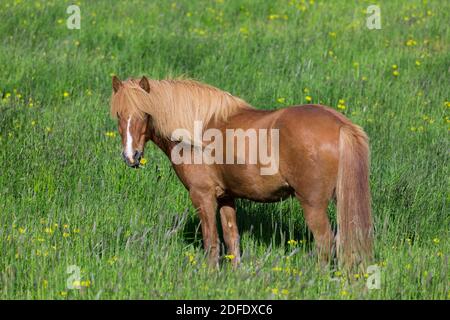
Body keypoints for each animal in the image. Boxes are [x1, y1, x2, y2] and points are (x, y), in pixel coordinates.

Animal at [110, 76, 372, 268]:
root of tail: (341, 125)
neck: (197, 133)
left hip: (312, 204)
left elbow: (211, 241)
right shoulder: (226, 197)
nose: (131, 156)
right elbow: (231, 238)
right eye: (119, 115)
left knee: (325, 241)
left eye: (146, 114)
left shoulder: (202, 196)